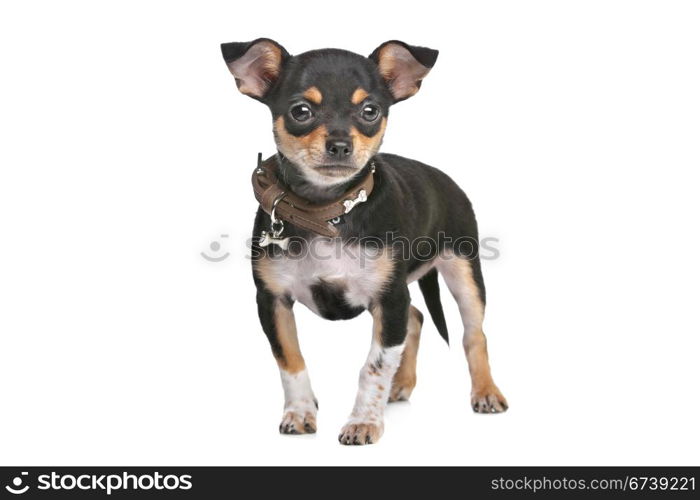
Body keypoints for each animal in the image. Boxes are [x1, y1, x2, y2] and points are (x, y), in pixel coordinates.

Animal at [221, 39, 506, 446]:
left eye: (370, 111)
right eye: (300, 111)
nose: (340, 144)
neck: (327, 212)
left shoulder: (388, 299)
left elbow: (374, 366)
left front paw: (363, 423)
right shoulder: (272, 300)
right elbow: (290, 361)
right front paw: (300, 413)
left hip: (464, 273)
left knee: (473, 335)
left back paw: (485, 392)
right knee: (417, 318)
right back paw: (400, 385)